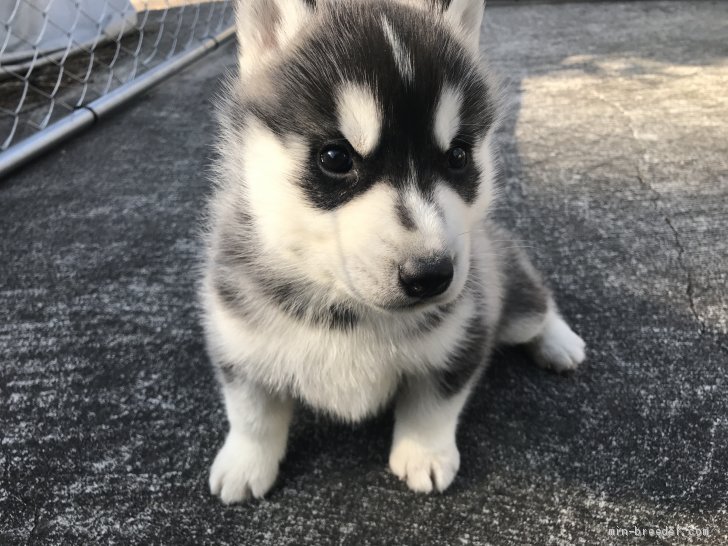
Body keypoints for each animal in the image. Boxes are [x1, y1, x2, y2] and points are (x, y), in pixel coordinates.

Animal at [202, 0, 588, 502]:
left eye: (458, 156)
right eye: (335, 157)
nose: (431, 275)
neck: (348, 312)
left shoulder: (462, 333)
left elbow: (435, 403)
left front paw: (425, 454)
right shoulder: (237, 335)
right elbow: (251, 410)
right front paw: (246, 462)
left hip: (505, 290)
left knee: (536, 304)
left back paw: (560, 341)